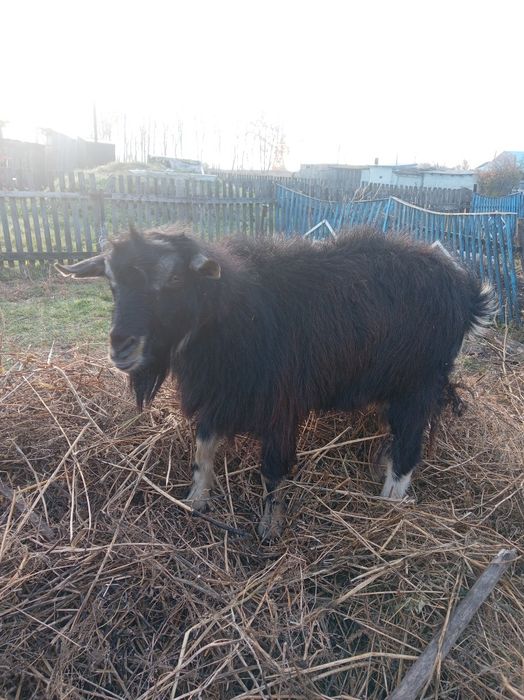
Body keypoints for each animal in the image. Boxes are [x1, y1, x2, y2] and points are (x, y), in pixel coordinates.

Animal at [56, 226, 496, 541]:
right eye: (112, 284)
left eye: (175, 279)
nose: (121, 346)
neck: (233, 313)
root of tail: (466, 291)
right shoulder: (220, 393)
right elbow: (203, 450)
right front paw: (196, 502)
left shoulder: (280, 405)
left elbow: (272, 470)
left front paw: (270, 527)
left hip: (418, 386)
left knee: (409, 446)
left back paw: (389, 502)